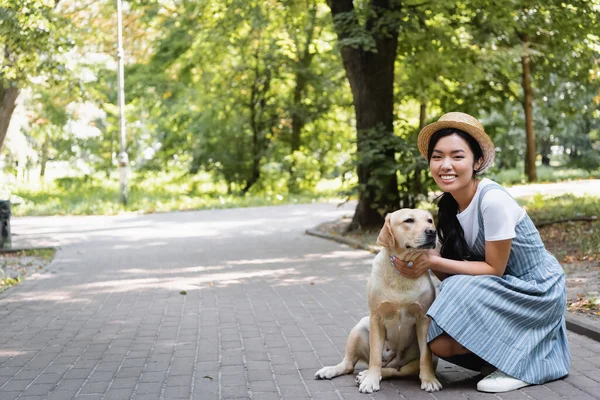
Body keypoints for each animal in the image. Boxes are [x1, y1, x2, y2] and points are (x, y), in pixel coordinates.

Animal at [314, 209, 440, 394]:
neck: (401, 274)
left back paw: (367, 374)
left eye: (430, 220)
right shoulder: (376, 318)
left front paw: (429, 380)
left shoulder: (424, 320)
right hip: (360, 327)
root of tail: (393, 360)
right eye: (409, 220)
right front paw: (371, 380)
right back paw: (335, 371)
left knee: (395, 370)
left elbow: (425, 356)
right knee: (350, 364)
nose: (432, 232)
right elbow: (375, 357)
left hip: (412, 361)